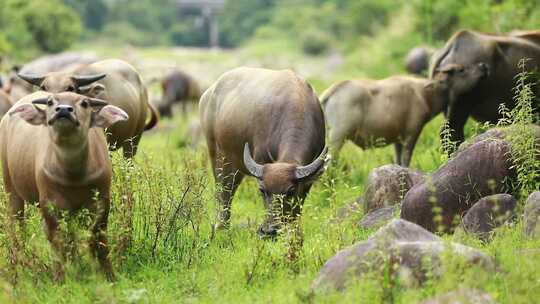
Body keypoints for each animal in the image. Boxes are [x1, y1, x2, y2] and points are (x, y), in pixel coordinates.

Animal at [1, 90, 129, 280]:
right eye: (50, 102)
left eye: (84, 103)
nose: (63, 110)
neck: (73, 175)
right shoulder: (50, 203)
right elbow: (59, 240)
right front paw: (60, 276)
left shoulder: (102, 199)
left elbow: (97, 237)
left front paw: (107, 274)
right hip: (10, 187)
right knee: (17, 225)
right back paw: (17, 263)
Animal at [198, 66, 324, 238]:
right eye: (262, 190)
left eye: (290, 191)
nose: (269, 231)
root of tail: (209, 92)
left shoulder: (308, 181)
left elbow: (298, 208)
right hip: (216, 153)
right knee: (223, 190)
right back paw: (221, 227)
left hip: (237, 165)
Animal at [322, 76, 454, 166]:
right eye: (442, 83)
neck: (421, 94)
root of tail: (334, 89)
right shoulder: (411, 135)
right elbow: (406, 159)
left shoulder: (398, 140)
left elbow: (398, 160)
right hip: (338, 139)